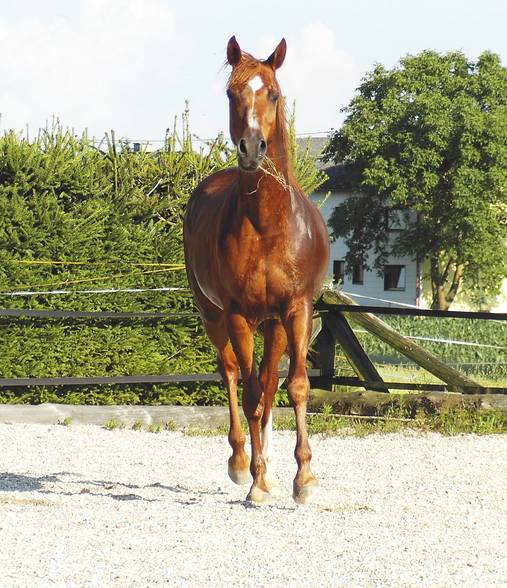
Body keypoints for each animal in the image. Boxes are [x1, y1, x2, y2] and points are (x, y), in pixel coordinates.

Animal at [185, 38, 332, 506]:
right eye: (232, 94)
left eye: (273, 93)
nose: (252, 149)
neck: (268, 223)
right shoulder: (237, 315)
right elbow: (248, 391)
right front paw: (256, 481)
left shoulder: (297, 310)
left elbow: (295, 386)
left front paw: (303, 478)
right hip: (214, 316)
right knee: (233, 374)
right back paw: (241, 462)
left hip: (275, 324)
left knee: (269, 383)